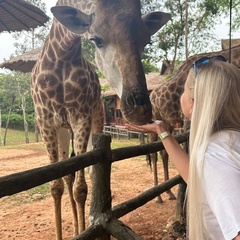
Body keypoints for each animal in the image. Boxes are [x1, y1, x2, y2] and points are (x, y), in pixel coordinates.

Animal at [31, 0, 171, 239]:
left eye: (146, 40)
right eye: (96, 39)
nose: (140, 111)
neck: (61, 56)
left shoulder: (81, 117)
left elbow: (81, 188)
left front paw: (84, 229)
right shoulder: (45, 120)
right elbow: (55, 186)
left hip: (92, 121)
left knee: (80, 173)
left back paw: (78, 226)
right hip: (62, 129)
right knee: (66, 175)